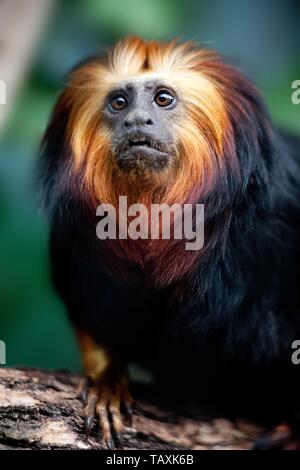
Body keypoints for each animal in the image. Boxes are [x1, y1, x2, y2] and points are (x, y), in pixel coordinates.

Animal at [39, 35, 300, 448]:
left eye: (162, 99)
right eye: (119, 103)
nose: (136, 121)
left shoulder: (284, 209)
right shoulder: (72, 232)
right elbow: (85, 302)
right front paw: (107, 380)